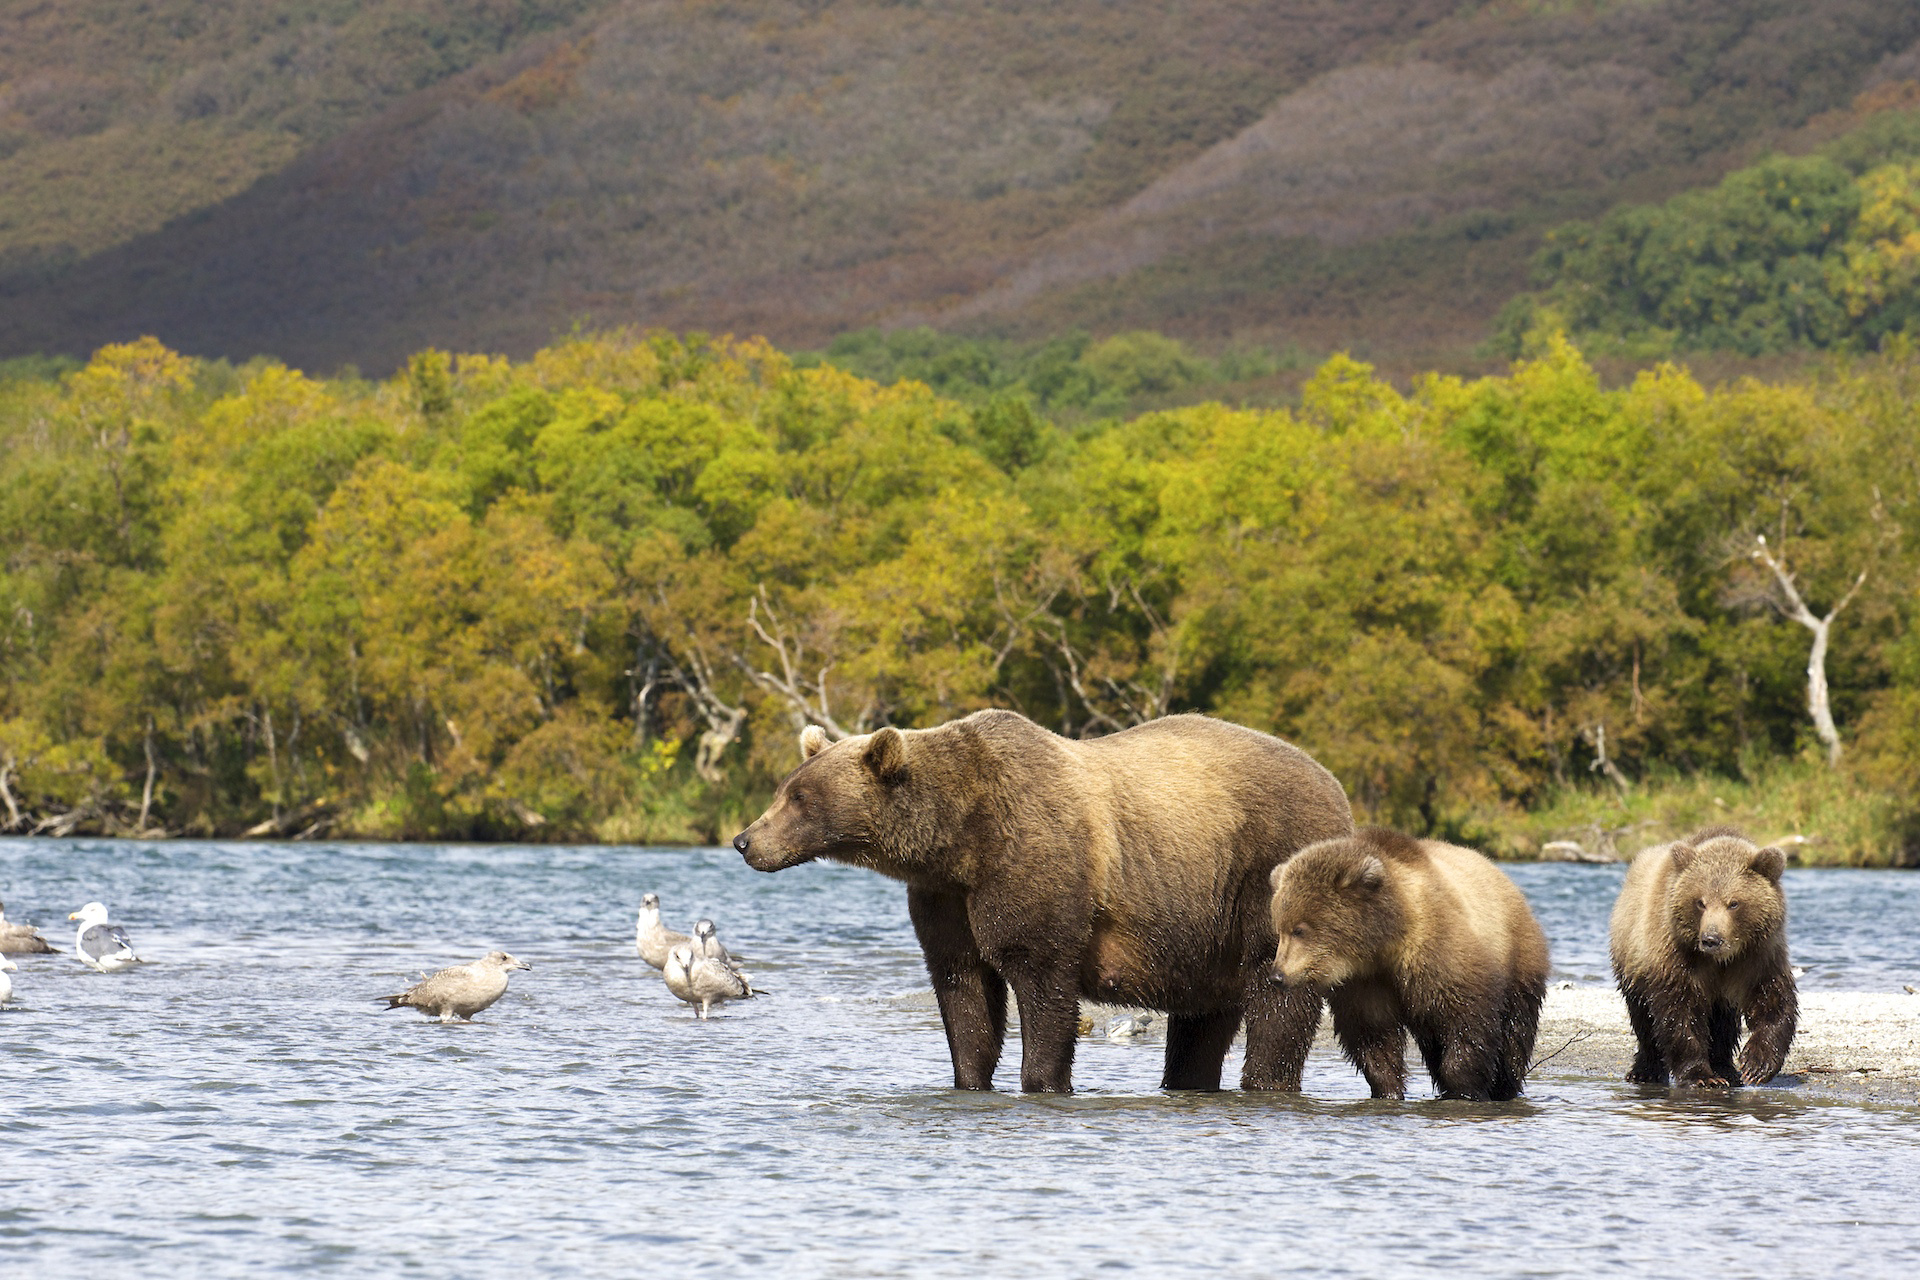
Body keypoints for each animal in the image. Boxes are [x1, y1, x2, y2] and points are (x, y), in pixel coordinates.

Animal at [729, 710, 1351, 1090]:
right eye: (785, 789)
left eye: (800, 797)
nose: (744, 840)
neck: (961, 839)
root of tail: (1334, 784)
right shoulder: (946, 897)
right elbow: (964, 989)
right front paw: (969, 1077)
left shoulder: (1035, 864)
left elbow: (1041, 978)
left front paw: (1044, 1080)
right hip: (1205, 929)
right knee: (1203, 1018)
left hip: (1261, 868)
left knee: (1276, 998)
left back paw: (1265, 1079)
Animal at [1267, 832, 1551, 1105]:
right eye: (1279, 928)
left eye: (1299, 929)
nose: (1277, 975)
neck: (1384, 943)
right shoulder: (1364, 982)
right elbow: (1373, 1036)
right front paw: (1388, 1090)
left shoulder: (1439, 955)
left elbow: (1466, 1022)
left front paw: (1465, 1090)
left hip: (1518, 954)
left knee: (1515, 1028)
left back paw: (1505, 1085)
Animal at [1605, 825, 1797, 1090]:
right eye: (1700, 902)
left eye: (1733, 903)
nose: (1711, 939)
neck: (1721, 959)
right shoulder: (1676, 956)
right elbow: (1679, 1012)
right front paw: (1702, 1076)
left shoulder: (1758, 956)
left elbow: (1772, 1000)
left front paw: (1756, 1065)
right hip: (1632, 957)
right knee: (1643, 1017)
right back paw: (1645, 1071)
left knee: (1723, 1023)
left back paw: (1726, 1068)